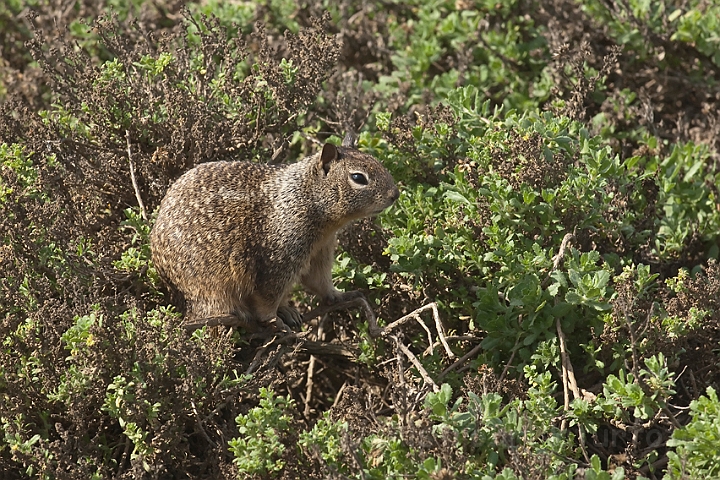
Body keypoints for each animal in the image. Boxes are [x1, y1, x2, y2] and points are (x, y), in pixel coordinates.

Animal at [151, 141, 400, 332]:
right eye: (358, 177)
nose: (395, 194)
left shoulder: (320, 252)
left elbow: (320, 282)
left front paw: (339, 294)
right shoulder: (278, 261)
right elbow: (267, 301)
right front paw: (274, 321)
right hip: (211, 287)